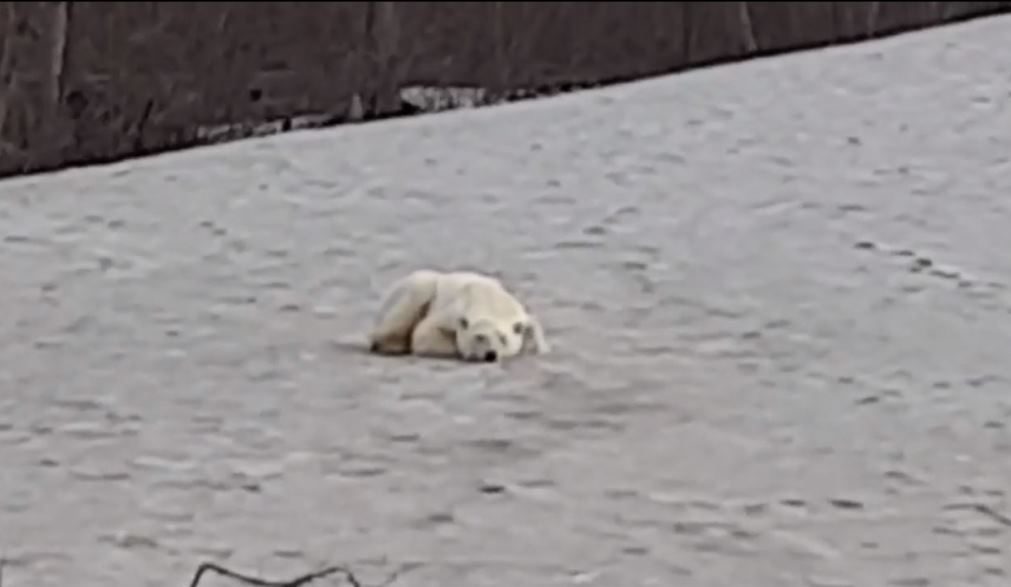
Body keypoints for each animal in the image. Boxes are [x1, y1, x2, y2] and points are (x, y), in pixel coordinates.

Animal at [368, 268, 549, 359]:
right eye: (480, 336)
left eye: (503, 338)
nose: (490, 355)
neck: (490, 303)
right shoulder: (451, 313)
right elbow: (423, 333)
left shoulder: (521, 314)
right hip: (420, 287)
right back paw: (394, 345)